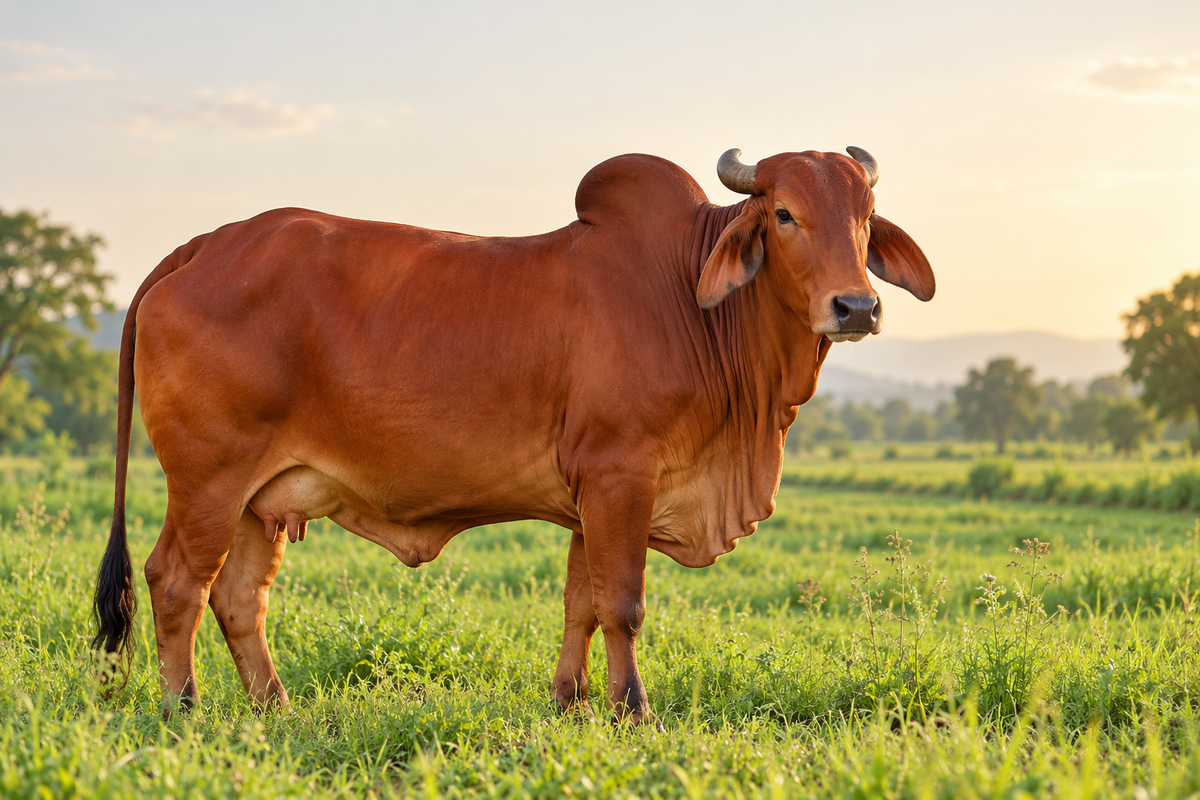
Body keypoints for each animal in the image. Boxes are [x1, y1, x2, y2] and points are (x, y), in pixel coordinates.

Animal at [93, 146, 933, 725]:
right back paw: (182, 710)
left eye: (864, 218)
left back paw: (275, 708)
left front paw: (572, 702)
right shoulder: (621, 476)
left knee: (238, 597)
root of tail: (201, 245)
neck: (692, 302)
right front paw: (635, 711)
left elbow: (581, 604)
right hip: (208, 480)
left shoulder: (591, 497)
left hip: (260, 498)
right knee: (176, 582)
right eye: (784, 214)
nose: (857, 307)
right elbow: (623, 603)